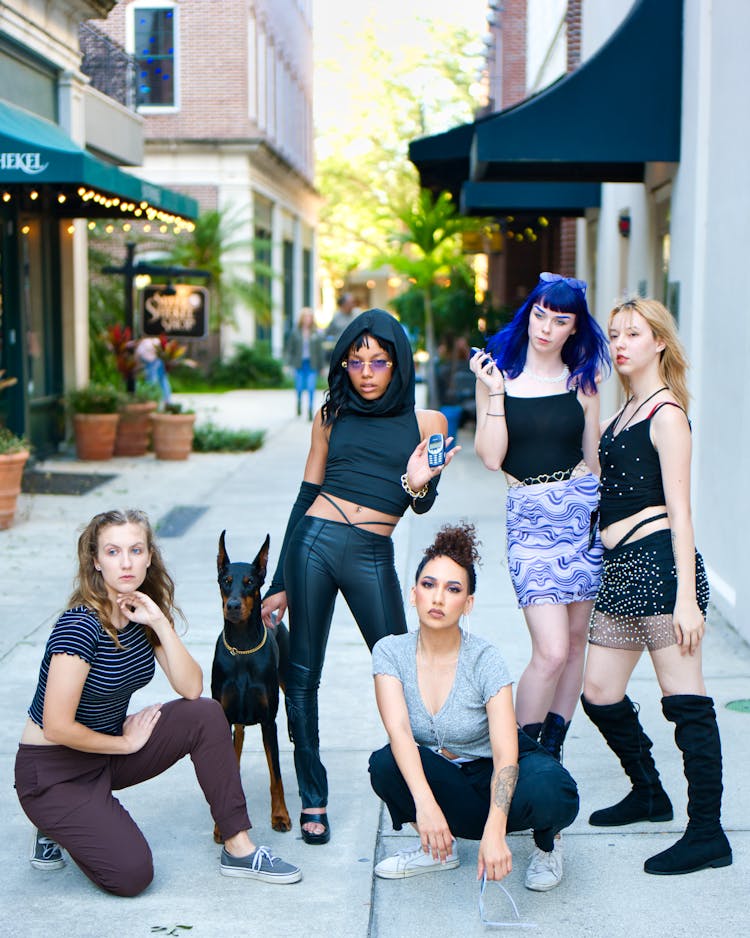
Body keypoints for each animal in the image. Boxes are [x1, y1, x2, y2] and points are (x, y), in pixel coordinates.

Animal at [212, 532, 294, 836]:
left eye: (250, 582)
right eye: (226, 581)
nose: (233, 606)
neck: (243, 648)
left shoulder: (268, 721)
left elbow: (276, 776)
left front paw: (280, 816)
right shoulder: (222, 715)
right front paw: (221, 827)